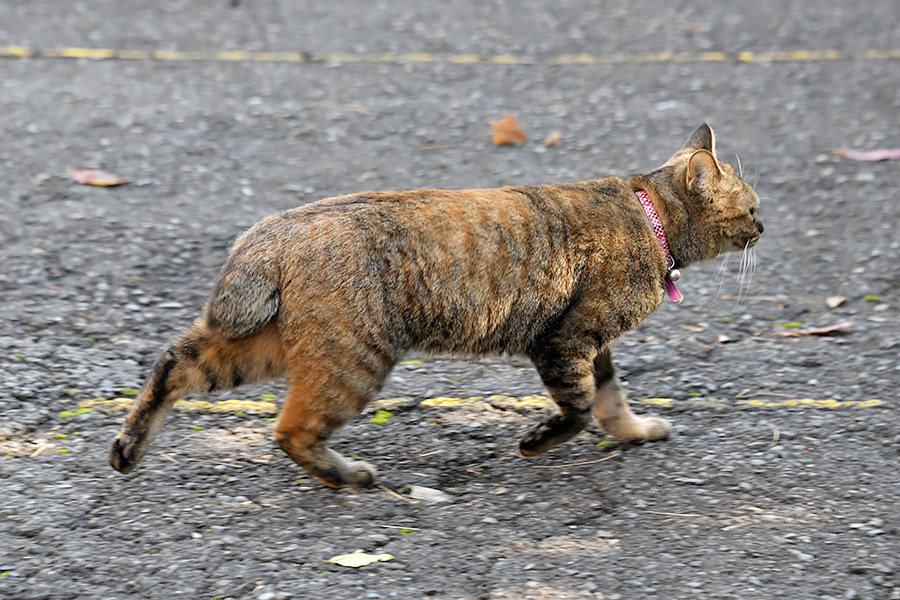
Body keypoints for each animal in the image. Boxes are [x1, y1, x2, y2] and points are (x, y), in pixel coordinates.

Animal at [109, 124, 764, 490]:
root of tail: (278, 227)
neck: (649, 217)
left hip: (272, 346)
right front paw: (538, 442)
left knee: (175, 362)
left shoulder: (589, 344)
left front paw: (635, 431)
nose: (766, 226)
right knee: (288, 428)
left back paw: (127, 450)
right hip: (352, 361)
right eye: (753, 206)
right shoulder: (565, 340)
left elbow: (610, 400)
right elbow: (578, 409)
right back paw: (348, 477)